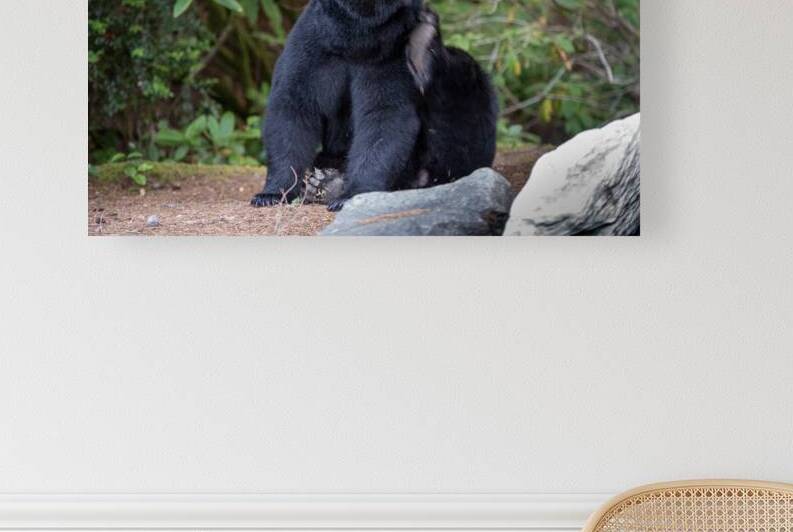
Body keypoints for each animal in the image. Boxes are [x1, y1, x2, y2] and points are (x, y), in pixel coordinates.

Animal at [251, 0, 498, 211]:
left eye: (393, 20)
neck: (353, 46)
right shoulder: (311, 43)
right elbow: (293, 107)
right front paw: (271, 193)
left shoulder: (393, 54)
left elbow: (385, 114)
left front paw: (351, 195)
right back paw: (324, 181)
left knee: (462, 81)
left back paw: (424, 48)